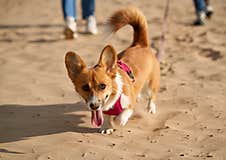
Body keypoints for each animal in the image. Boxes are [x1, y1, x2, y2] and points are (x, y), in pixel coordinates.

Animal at [65, 6, 161, 134]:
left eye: (102, 86)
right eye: (85, 87)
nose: (94, 106)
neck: (113, 97)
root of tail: (140, 44)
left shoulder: (129, 104)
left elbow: (122, 115)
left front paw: (118, 121)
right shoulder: (103, 110)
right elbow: (106, 116)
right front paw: (107, 127)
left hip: (151, 84)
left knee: (152, 96)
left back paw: (151, 108)